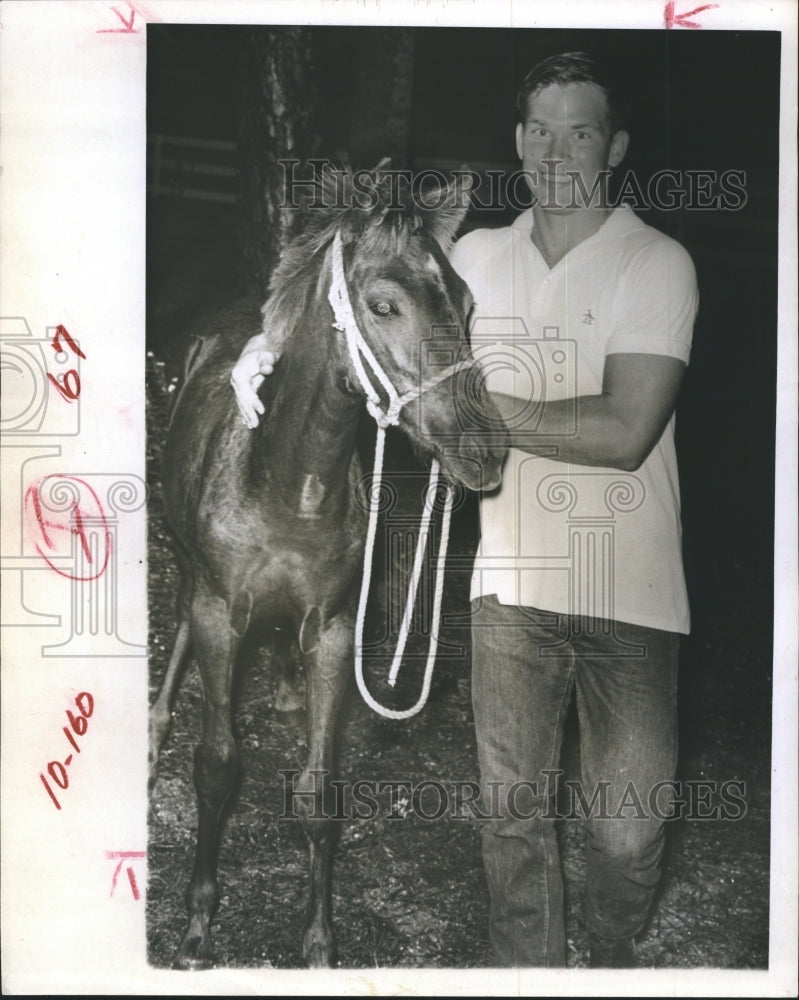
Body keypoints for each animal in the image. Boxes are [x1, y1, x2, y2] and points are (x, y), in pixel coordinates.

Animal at [148, 170, 506, 968]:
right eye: (383, 305)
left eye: (467, 302)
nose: (484, 451)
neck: (289, 489)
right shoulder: (221, 615)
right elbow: (216, 767)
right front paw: (197, 926)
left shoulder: (336, 631)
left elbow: (318, 794)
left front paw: (317, 940)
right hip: (188, 569)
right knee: (179, 619)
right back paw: (154, 730)